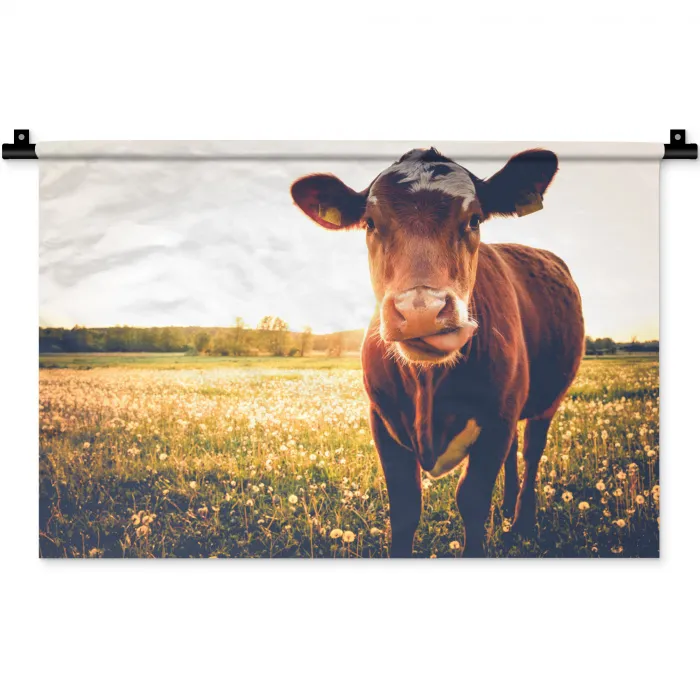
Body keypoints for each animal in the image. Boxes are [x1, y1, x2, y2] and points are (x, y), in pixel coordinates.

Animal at [290, 147, 584, 557]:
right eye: (370, 223)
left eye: (474, 219)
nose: (421, 310)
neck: (428, 386)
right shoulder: (382, 421)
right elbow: (405, 507)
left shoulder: (497, 420)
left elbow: (472, 500)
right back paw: (508, 506)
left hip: (547, 400)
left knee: (531, 451)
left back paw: (522, 521)